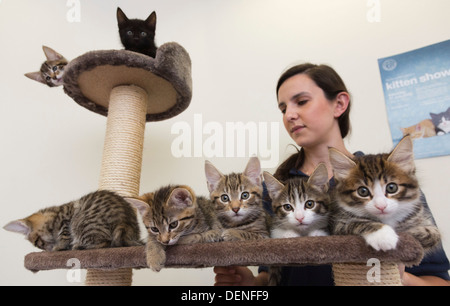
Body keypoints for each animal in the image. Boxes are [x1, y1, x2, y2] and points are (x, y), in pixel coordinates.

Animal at [3, 190, 142, 252]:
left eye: (38, 242)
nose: (47, 250)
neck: (54, 213)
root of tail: (125, 222)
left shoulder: (65, 221)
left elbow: (64, 236)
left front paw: (58, 247)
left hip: (79, 222)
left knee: (105, 242)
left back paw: (79, 246)